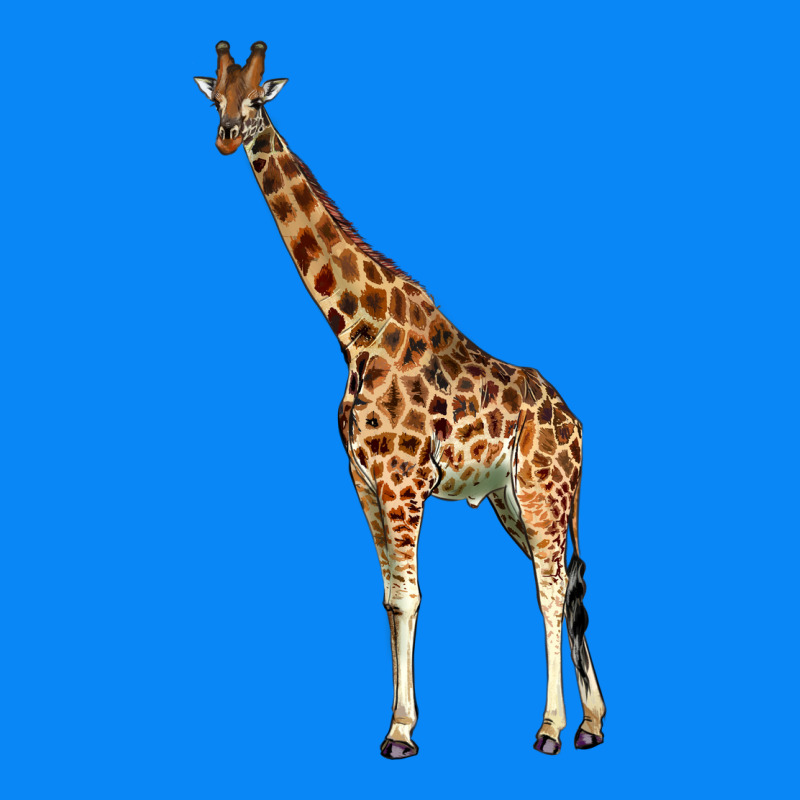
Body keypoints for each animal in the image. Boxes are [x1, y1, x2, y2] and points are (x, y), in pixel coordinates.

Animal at [195, 40, 606, 759]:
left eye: (256, 101)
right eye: (216, 97)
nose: (225, 137)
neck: (352, 329)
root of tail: (576, 423)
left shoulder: (403, 480)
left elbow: (411, 596)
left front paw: (400, 733)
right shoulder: (363, 481)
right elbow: (388, 596)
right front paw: (398, 721)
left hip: (542, 491)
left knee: (552, 590)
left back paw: (551, 729)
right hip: (515, 500)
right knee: (567, 581)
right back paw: (591, 723)